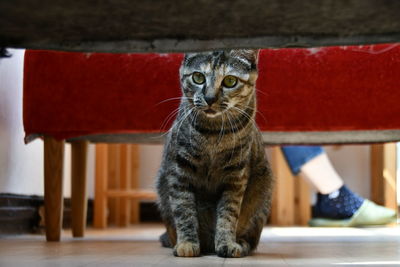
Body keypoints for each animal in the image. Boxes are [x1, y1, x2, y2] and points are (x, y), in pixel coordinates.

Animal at [155, 49, 274, 258]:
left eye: (230, 81)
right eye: (198, 77)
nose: (210, 98)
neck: (212, 134)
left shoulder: (236, 176)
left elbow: (228, 214)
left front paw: (226, 243)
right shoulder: (179, 170)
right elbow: (184, 211)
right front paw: (187, 243)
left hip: (263, 191)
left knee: (251, 240)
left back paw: (240, 245)